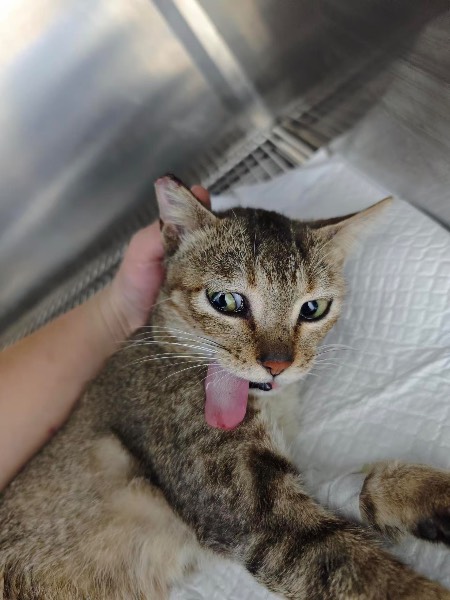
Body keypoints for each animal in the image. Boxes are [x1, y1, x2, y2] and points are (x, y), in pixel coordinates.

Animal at [1, 175, 450, 600]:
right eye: (227, 301)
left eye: (313, 308)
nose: (278, 365)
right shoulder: (253, 512)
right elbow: (360, 571)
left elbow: (352, 481)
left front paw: (427, 496)